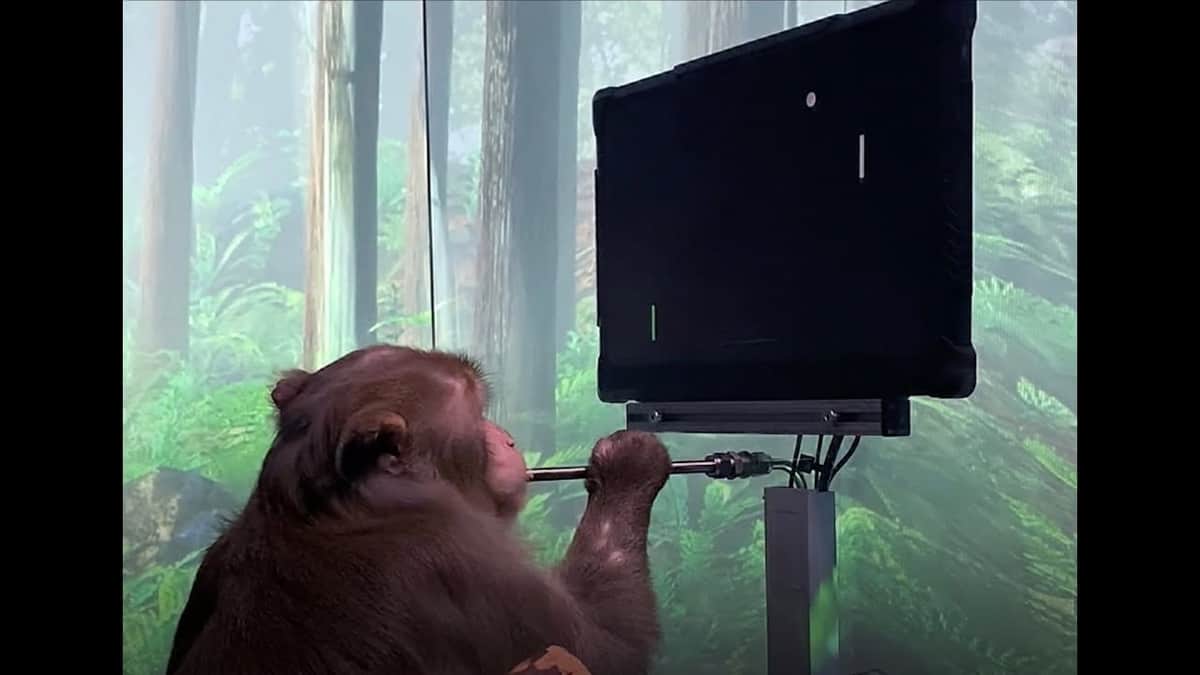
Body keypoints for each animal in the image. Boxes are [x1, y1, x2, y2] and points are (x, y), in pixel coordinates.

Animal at [165, 344, 672, 675]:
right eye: (478, 414)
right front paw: (628, 465)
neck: (338, 506)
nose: (508, 439)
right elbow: (608, 649)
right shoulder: (469, 563)